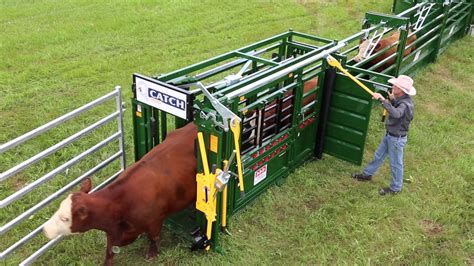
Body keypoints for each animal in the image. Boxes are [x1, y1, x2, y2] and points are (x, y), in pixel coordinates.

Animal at [44, 122, 198, 266]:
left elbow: (153, 238)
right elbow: (109, 251)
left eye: (65, 218)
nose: (45, 229)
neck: (123, 202)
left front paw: (152, 254)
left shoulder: (155, 221)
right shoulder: (113, 234)